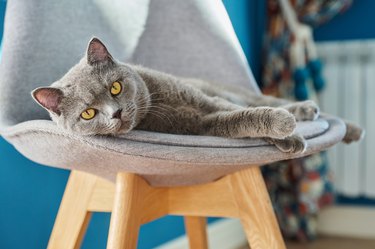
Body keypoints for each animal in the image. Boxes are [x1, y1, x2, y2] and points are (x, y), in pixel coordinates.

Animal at [30, 38, 366, 154]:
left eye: (115, 87)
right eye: (88, 113)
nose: (116, 113)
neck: (158, 104)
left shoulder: (208, 101)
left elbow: (243, 109)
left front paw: (290, 131)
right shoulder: (201, 125)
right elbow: (239, 120)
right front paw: (287, 135)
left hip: (226, 89)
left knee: (267, 100)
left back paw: (337, 122)